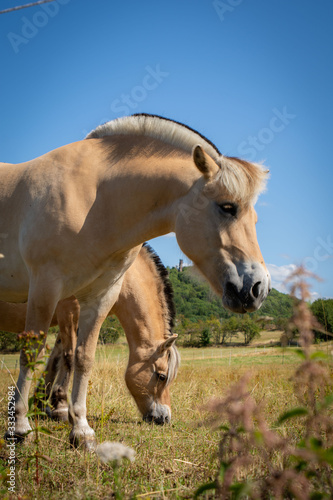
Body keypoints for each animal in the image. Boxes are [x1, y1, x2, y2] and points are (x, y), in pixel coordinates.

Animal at [0, 244, 179, 424]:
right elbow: (69, 357)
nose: (165, 418)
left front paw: (41, 403)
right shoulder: (68, 311)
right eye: (161, 376)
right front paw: (60, 406)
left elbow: (56, 358)